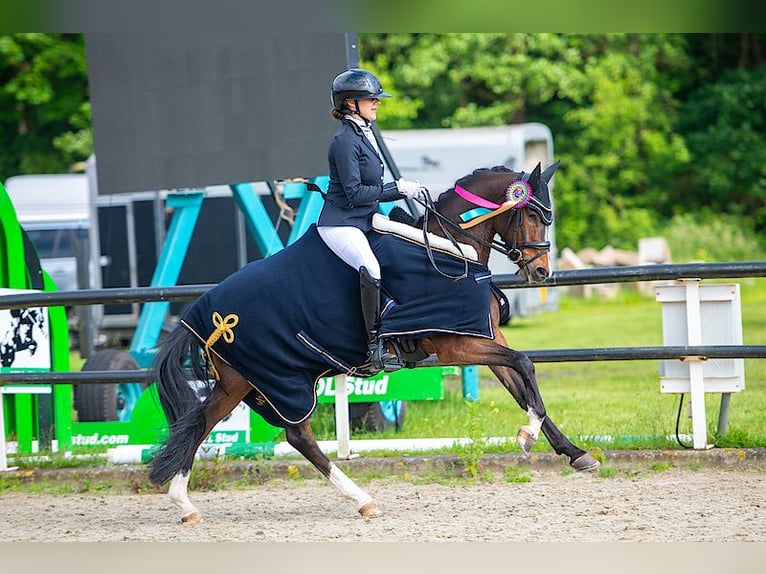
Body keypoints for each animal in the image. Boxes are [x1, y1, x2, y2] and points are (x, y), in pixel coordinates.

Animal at [150, 163, 604, 528]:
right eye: (532, 214)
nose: (542, 272)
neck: (449, 248)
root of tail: (204, 311)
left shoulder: (485, 337)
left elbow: (520, 384)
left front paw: (574, 452)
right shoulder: (457, 346)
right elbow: (526, 364)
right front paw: (527, 435)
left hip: (243, 381)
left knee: (202, 424)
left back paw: (185, 504)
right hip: (279, 377)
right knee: (296, 435)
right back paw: (362, 499)